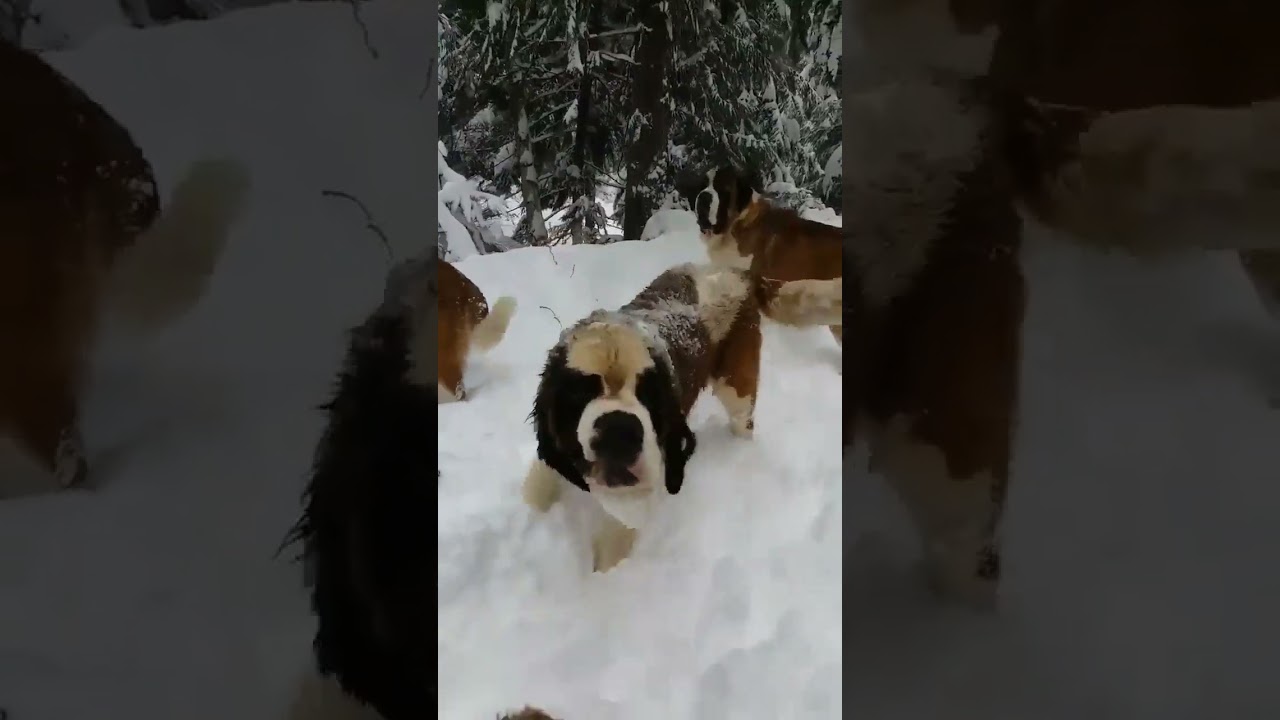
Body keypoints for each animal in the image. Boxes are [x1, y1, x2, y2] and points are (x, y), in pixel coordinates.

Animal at [522, 261, 842, 572]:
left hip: (735, 388)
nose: (619, 431)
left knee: (743, 421)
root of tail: (737, 272)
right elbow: (538, 490)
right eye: (579, 393)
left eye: (648, 393)